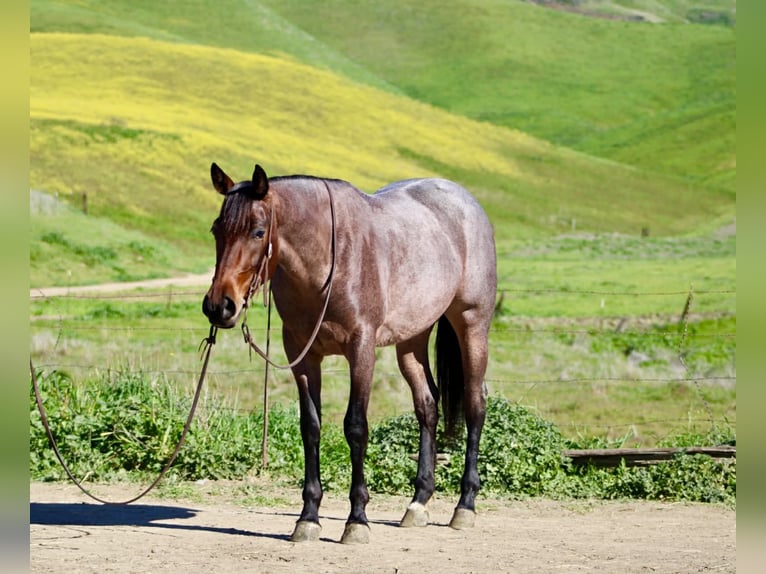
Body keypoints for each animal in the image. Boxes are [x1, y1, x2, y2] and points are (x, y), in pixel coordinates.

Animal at [202, 163, 497, 544]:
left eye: (258, 232)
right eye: (216, 229)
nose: (219, 306)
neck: (329, 261)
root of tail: (466, 202)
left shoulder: (361, 350)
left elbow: (356, 427)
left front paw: (357, 519)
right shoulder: (302, 355)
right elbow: (310, 427)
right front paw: (308, 518)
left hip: (472, 325)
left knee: (476, 403)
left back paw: (465, 505)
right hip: (412, 339)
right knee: (427, 405)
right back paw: (418, 502)